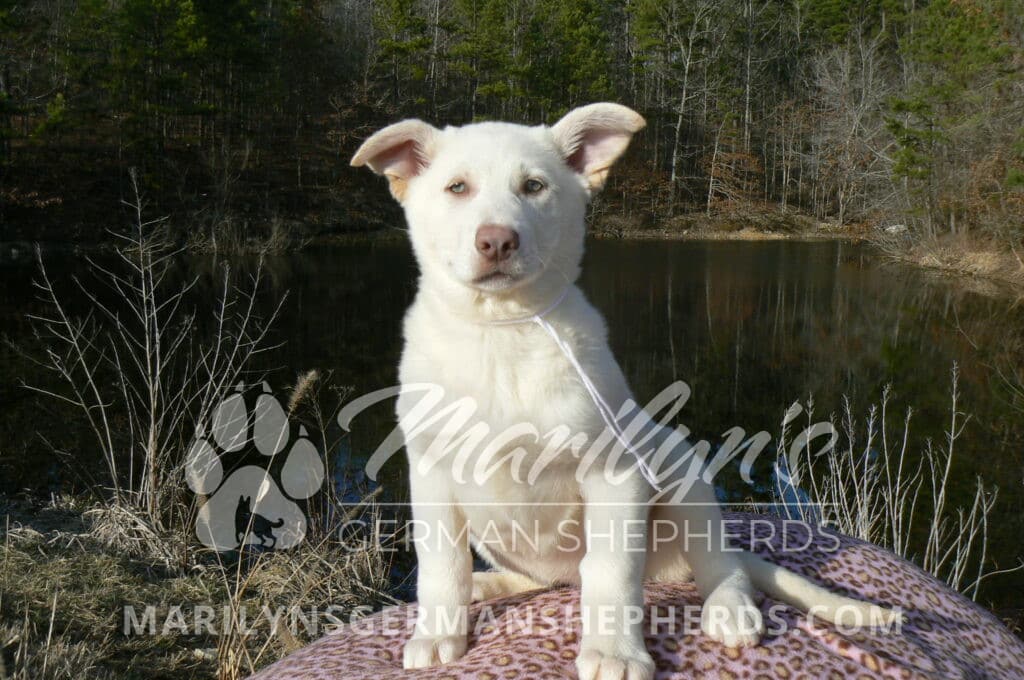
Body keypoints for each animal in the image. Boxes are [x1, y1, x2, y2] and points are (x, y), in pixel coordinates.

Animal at [351, 103, 898, 680]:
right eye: (457, 187)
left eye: (534, 186)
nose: (497, 241)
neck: (503, 330)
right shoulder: (431, 472)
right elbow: (443, 564)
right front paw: (438, 633)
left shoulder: (615, 472)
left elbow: (612, 571)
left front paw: (614, 651)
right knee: (543, 578)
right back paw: (489, 583)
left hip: (682, 472)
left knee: (719, 561)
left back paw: (730, 610)